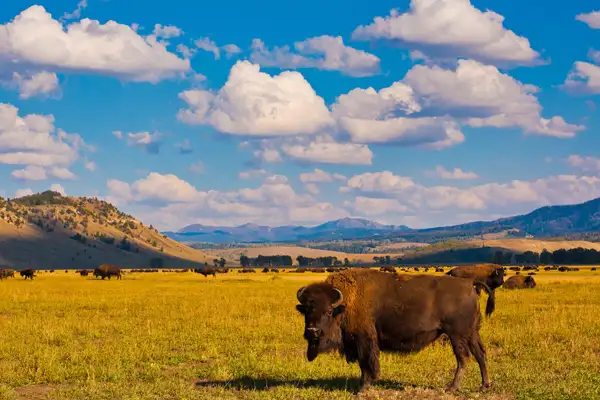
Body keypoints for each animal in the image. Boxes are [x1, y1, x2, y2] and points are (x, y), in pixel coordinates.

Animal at [296, 268, 492, 394]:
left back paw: (451, 388)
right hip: (471, 333)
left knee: (463, 357)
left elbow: (367, 363)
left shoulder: (364, 340)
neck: (345, 304)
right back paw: (484, 386)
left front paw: (362, 389)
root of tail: (469, 284)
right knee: (480, 354)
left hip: (456, 335)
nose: (313, 331)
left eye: (328, 311)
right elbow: (363, 365)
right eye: (306, 310)